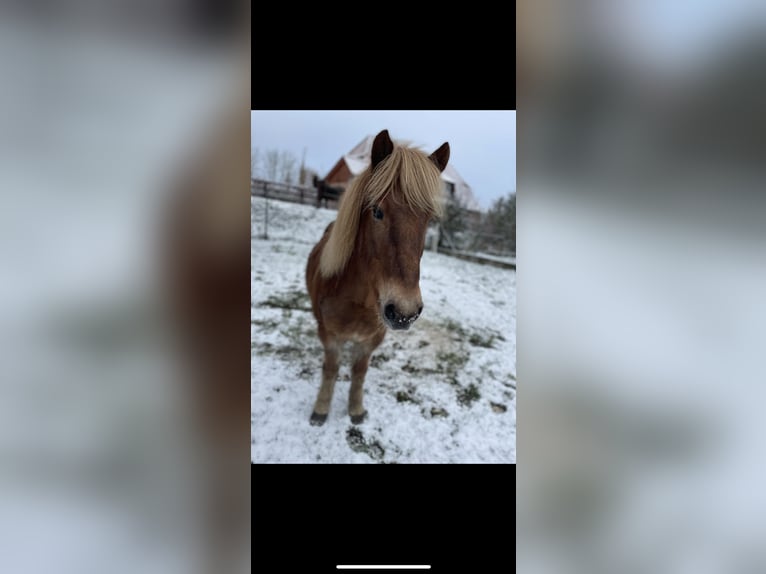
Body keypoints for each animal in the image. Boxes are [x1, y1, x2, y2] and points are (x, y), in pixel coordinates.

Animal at [305, 129, 449, 425]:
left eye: (428, 219)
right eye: (377, 211)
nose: (404, 312)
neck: (357, 300)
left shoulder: (371, 340)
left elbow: (359, 372)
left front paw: (356, 409)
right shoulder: (330, 336)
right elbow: (330, 369)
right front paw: (321, 409)